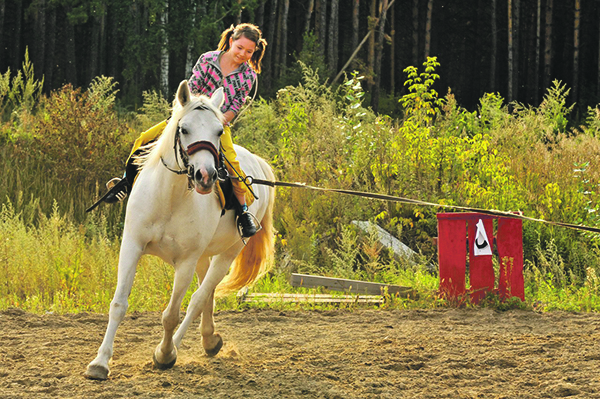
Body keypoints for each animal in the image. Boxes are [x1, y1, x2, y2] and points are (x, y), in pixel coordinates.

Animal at [85, 80, 276, 382]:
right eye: (184, 129)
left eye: (219, 131)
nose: (206, 176)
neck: (169, 197)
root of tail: (257, 161)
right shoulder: (132, 246)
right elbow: (118, 304)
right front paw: (100, 363)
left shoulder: (185, 262)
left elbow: (172, 314)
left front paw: (164, 355)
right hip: (204, 257)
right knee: (206, 295)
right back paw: (209, 340)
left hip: (227, 253)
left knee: (199, 298)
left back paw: (176, 346)